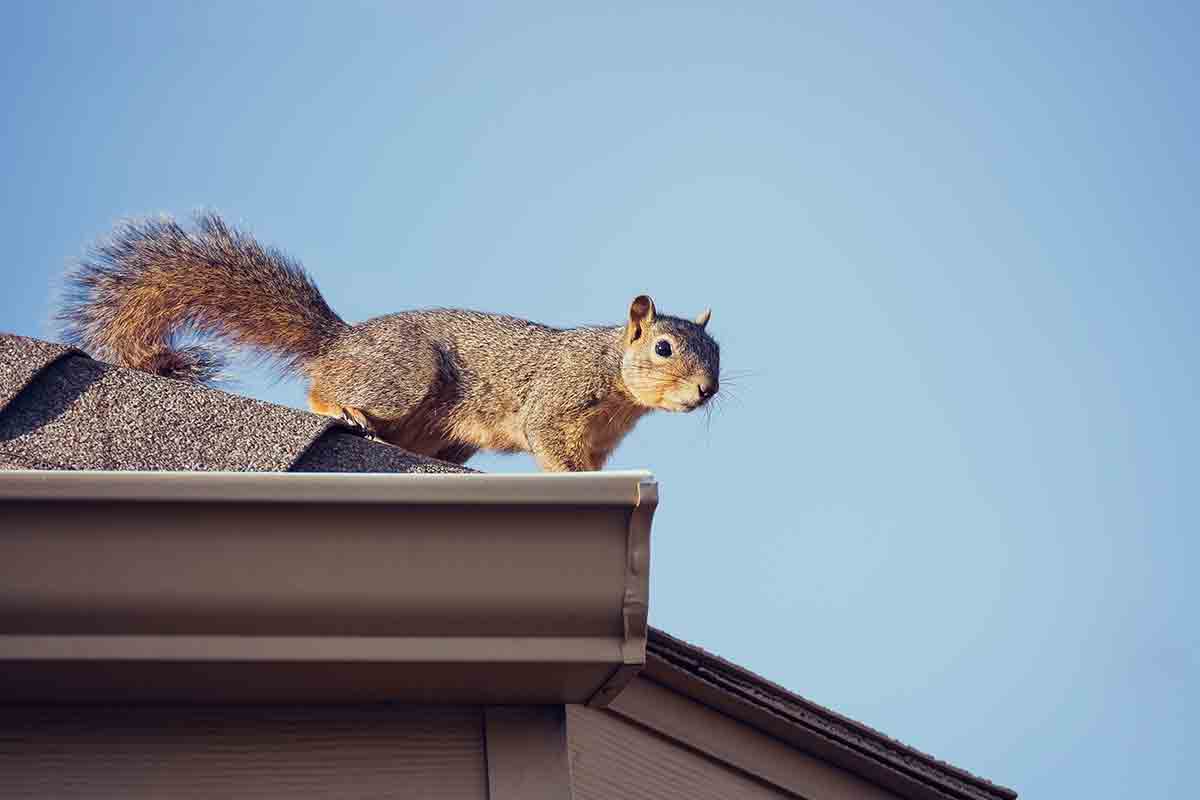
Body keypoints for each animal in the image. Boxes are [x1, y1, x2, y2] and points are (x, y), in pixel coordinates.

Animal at [58, 215, 720, 472]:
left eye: (718, 354)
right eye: (663, 348)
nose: (707, 391)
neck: (616, 381)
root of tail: (343, 340)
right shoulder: (556, 400)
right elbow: (550, 444)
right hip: (403, 376)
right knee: (321, 387)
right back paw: (343, 408)